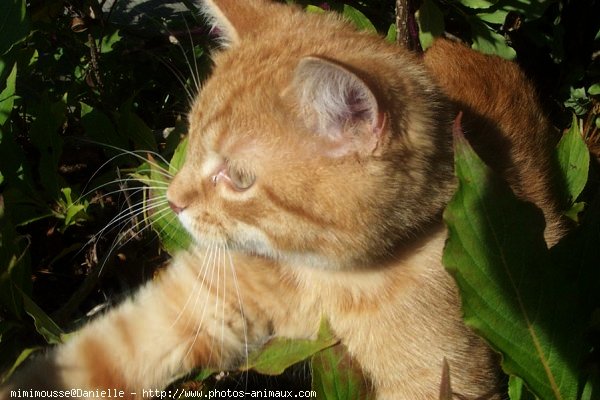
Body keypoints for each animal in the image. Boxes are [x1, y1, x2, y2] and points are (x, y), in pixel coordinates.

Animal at [0, 0, 564, 400]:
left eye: (239, 178)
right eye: (190, 137)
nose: (174, 202)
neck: (321, 281)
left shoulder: (442, 374)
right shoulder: (198, 301)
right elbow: (91, 359)